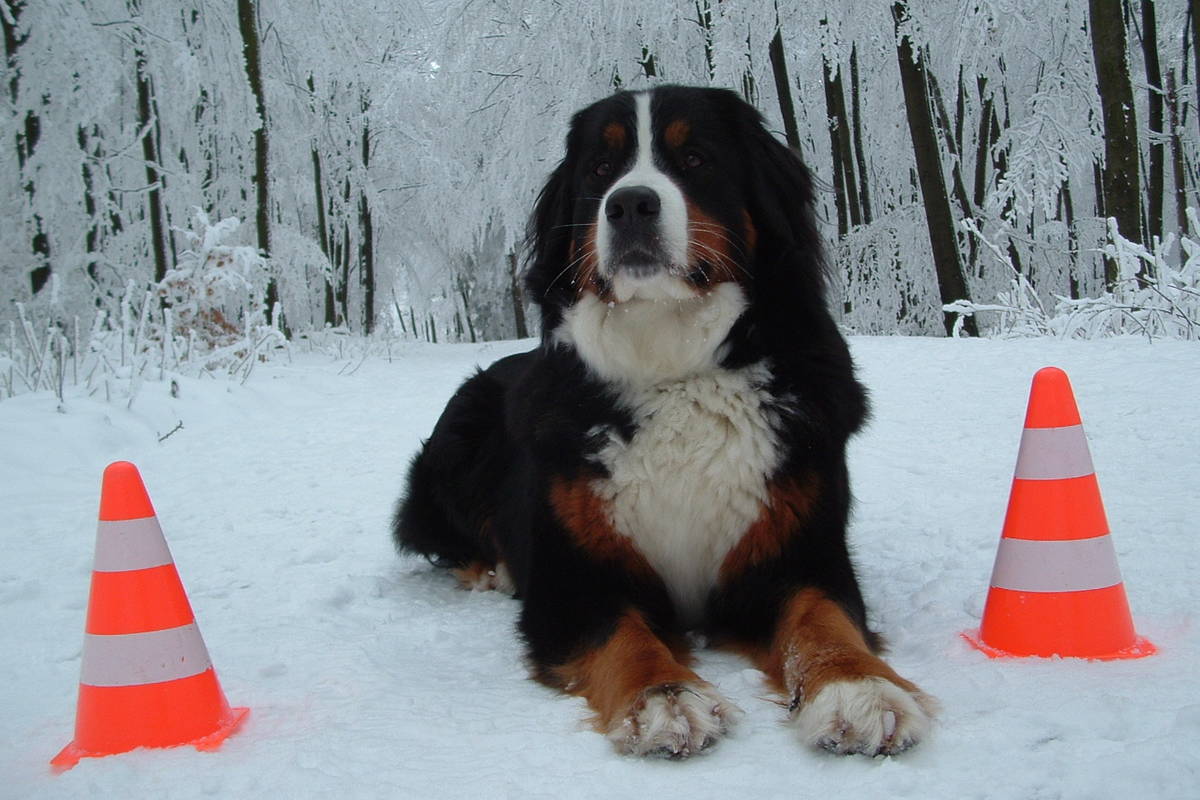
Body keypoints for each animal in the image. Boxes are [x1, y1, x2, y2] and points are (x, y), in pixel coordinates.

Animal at [393, 84, 936, 762]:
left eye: (696, 158)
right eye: (600, 169)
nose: (629, 204)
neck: (674, 371)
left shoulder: (799, 549)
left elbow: (824, 617)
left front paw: (859, 691)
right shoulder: (574, 574)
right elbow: (625, 635)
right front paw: (664, 698)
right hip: (453, 442)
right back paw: (493, 569)